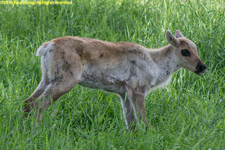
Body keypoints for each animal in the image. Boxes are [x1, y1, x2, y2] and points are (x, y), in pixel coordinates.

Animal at [22, 30, 207, 129]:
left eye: (196, 49)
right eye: (185, 51)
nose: (202, 67)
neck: (156, 65)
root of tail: (47, 47)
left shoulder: (124, 93)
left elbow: (131, 122)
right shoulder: (138, 89)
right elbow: (143, 120)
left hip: (46, 78)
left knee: (27, 102)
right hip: (66, 80)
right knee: (37, 105)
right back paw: (37, 130)